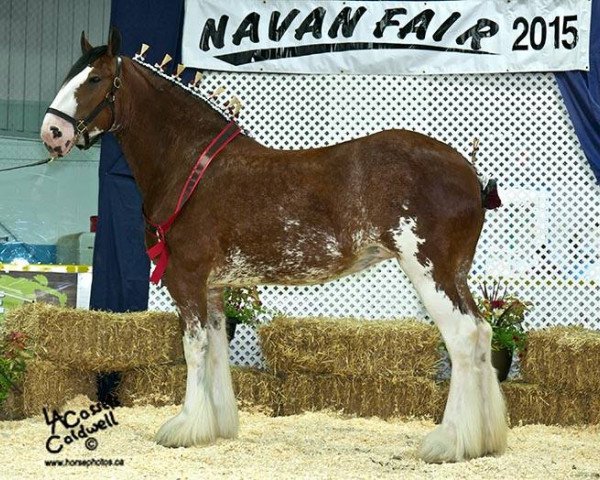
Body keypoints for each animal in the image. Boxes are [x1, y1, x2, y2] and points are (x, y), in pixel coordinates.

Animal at [38, 28, 506, 464]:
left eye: (95, 78)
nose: (52, 132)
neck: (190, 167)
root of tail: (470, 173)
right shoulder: (213, 286)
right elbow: (216, 349)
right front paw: (216, 426)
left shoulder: (186, 277)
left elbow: (194, 350)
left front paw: (184, 427)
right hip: (456, 274)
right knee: (482, 334)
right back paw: (484, 441)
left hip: (429, 269)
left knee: (463, 338)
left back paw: (449, 442)